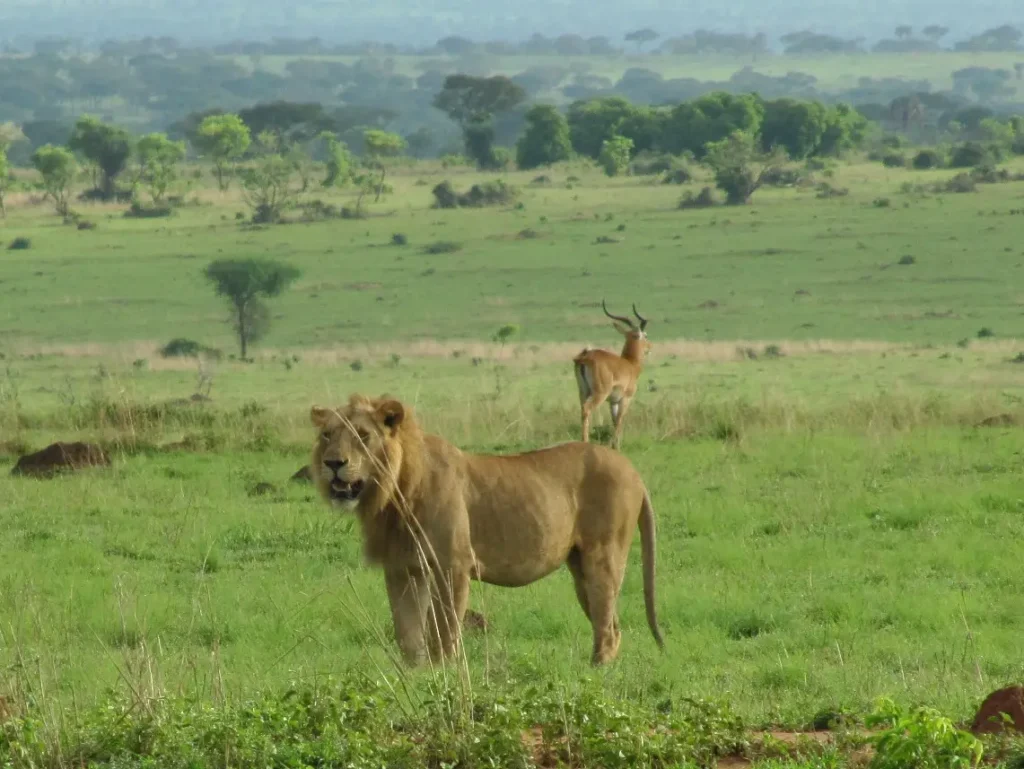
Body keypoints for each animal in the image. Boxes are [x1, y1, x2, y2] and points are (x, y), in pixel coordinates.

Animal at [310, 393, 665, 667]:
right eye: (327, 435)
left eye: (362, 435)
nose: (333, 463)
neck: (393, 495)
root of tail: (633, 470)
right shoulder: (402, 569)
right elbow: (406, 630)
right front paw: (415, 674)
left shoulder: (452, 565)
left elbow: (443, 627)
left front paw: (444, 672)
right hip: (579, 567)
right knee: (611, 623)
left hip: (603, 556)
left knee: (607, 623)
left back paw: (595, 673)